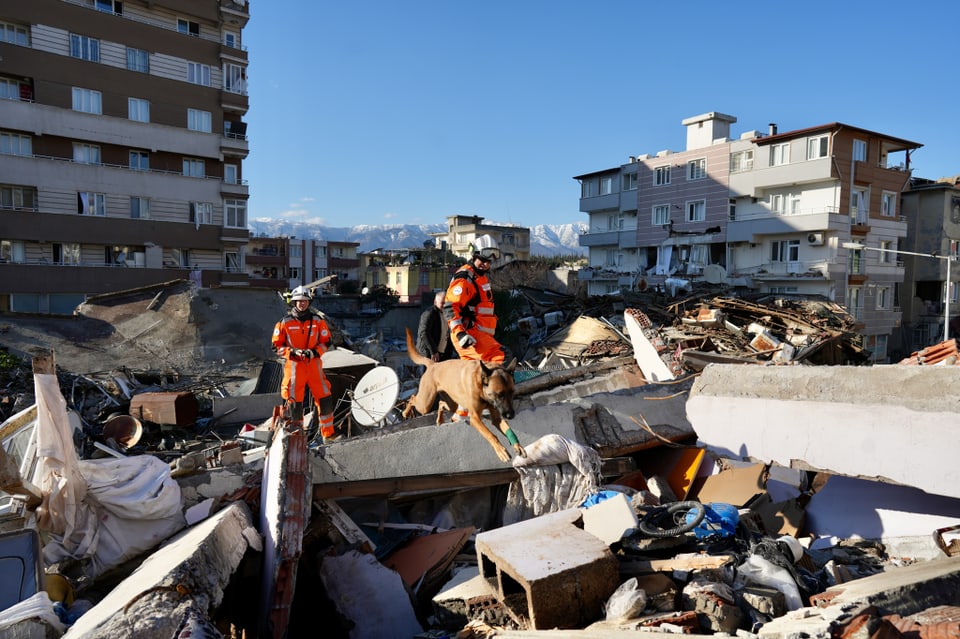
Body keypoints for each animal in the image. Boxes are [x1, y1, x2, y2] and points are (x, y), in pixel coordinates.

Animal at [404, 328, 528, 462]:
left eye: (512, 392)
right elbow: (491, 435)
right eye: (499, 394)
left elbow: (507, 428)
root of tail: (434, 364)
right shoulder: (475, 418)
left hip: (452, 404)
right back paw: (405, 412)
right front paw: (500, 450)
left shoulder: (497, 417)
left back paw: (439, 419)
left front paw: (517, 445)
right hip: (425, 404)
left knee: (441, 403)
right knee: (412, 398)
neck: (481, 386)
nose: (511, 415)